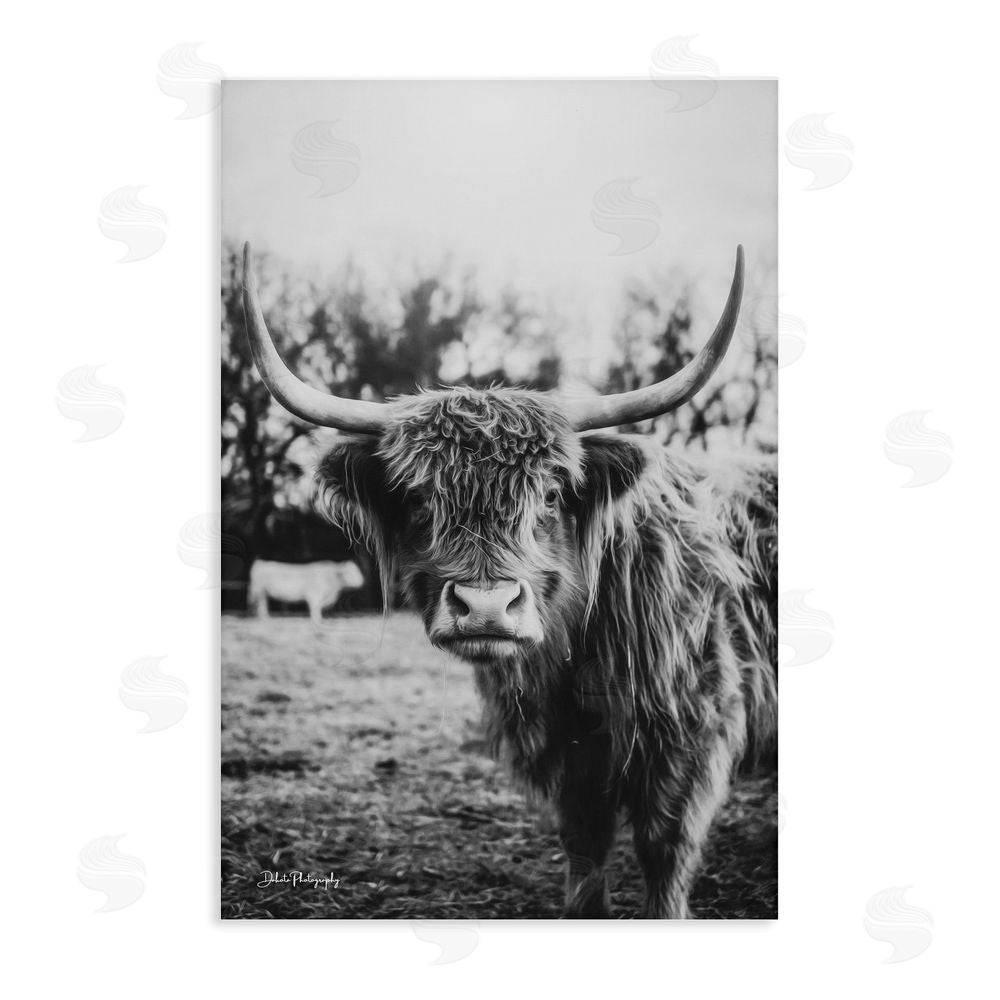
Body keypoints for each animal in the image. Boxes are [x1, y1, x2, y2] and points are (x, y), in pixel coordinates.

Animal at [241, 241, 776, 918]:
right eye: (419, 500)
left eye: (549, 495)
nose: (486, 608)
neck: (572, 661)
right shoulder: (570, 762)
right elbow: (584, 857)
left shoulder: (690, 736)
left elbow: (663, 857)